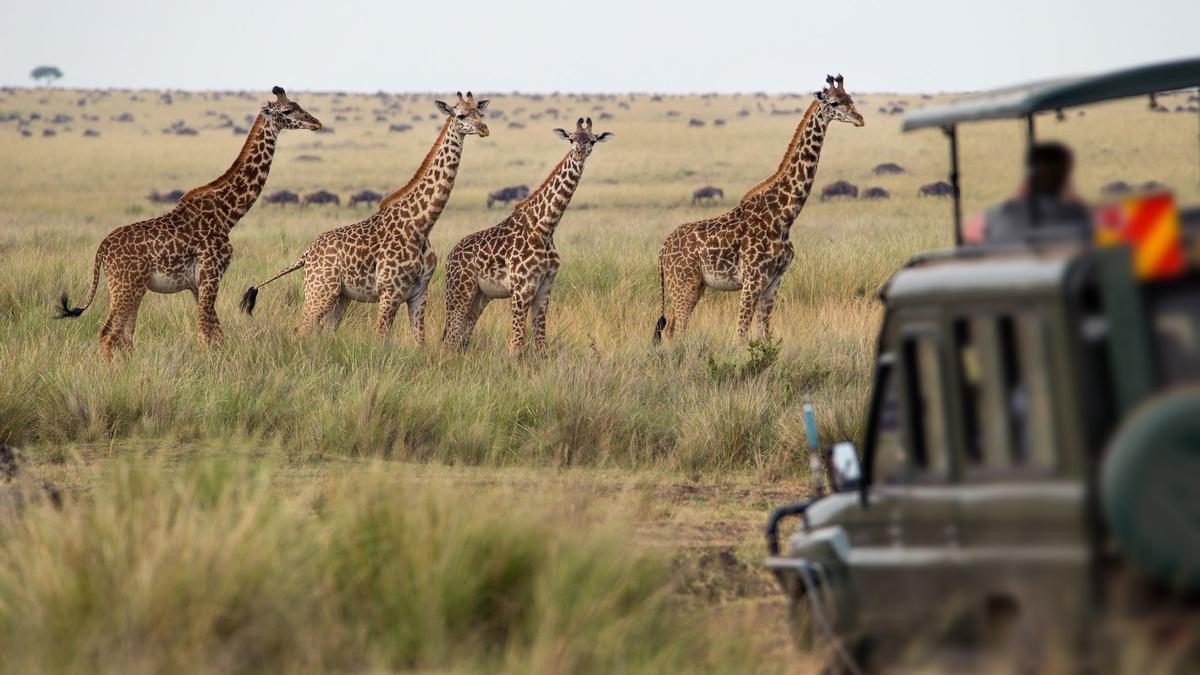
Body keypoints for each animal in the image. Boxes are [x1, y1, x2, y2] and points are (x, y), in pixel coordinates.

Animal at [56, 90, 321, 362]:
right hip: (125, 286)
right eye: (288, 110)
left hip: (133, 288)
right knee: (108, 333)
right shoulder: (211, 274)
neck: (227, 214)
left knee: (125, 335)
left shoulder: (197, 284)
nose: (317, 123)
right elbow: (206, 333)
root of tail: (101, 251)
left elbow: (214, 333)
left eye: (298, 105)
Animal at [238, 90, 487, 343]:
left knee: (324, 330)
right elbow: (381, 339)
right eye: (461, 114)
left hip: (341, 296)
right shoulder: (389, 293)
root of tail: (306, 254)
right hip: (319, 291)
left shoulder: (419, 293)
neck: (421, 224)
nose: (484, 128)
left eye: (481, 112)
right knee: (300, 329)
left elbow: (420, 342)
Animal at [441, 117, 609, 355]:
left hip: (480, 296)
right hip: (459, 291)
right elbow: (516, 346)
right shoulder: (521, 288)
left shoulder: (544, 288)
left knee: (462, 337)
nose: (578, 153)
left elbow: (541, 345)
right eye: (571, 139)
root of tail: (449, 257)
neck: (546, 227)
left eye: (592, 141)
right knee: (451, 338)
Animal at [657, 74, 864, 341]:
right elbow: (741, 335)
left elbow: (765, 335)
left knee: (671, 329)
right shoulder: (752, 280)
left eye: (851, 98)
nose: (860, 119)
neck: (784, 216)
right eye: (835, 102)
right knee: (676, 330)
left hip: (695, 285)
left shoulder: (774, 281)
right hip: (684, 283)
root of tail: (662, 250)